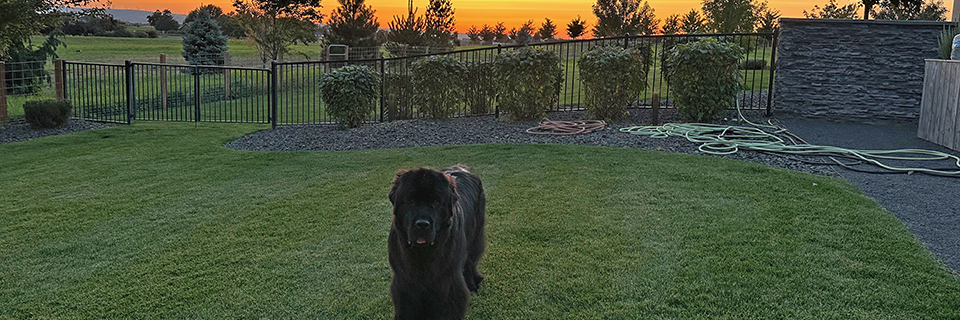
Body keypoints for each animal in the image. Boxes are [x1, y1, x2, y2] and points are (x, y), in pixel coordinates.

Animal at [386, 165, 484, 320]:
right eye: (410, 201)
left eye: (436, 202)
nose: (422, 224)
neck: (423, 254)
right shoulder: (404, 282)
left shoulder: (447, 284)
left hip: (474, 237)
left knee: (470, 261)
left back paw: (473, 284)